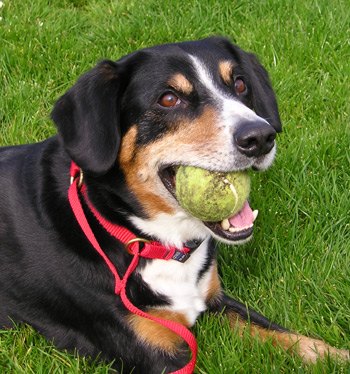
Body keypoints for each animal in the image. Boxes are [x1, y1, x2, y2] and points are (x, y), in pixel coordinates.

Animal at [0, 37, 348, 372]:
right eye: (168, 99)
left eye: (239, 84)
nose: (260, 136)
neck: (153, 242)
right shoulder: (154, 348)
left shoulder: (214, 299)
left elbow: (288, 337)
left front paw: (335, 355)